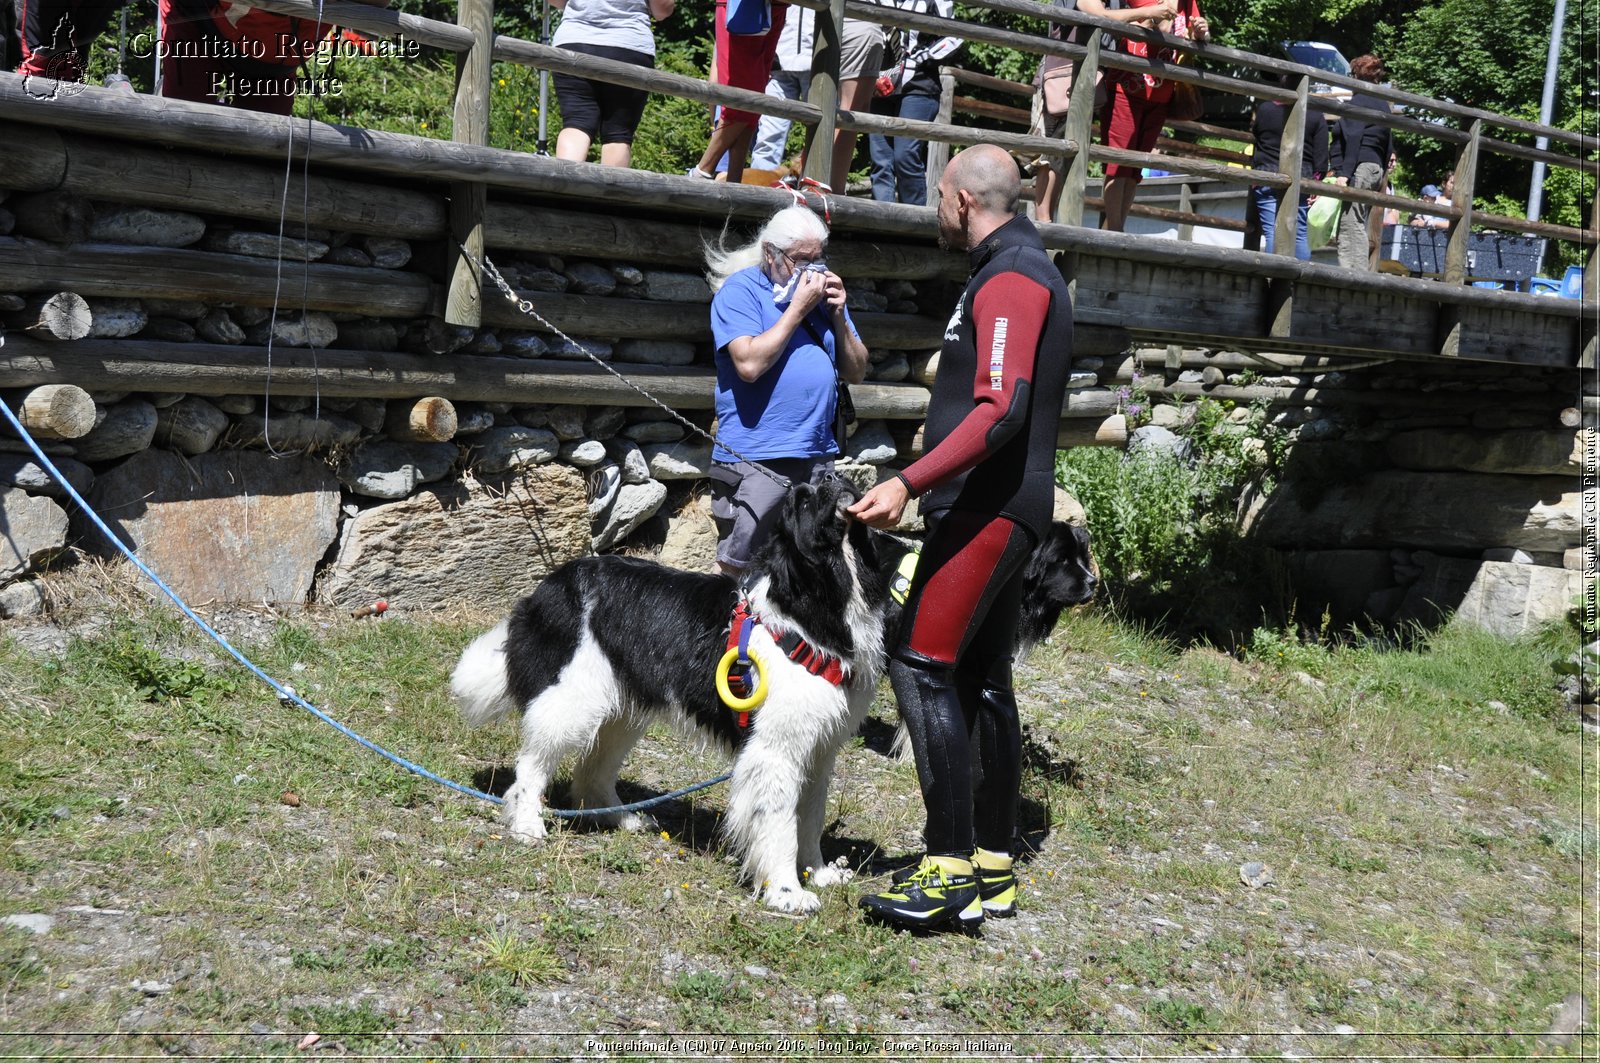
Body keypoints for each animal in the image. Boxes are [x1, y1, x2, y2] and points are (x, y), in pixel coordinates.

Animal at [451, 477, 889, 909]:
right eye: (803, 500)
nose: (831, 475)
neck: (814, 608)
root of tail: (550, 585)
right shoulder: (776, 750)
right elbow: (781, 822)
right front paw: (787, 892)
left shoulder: (819, 748)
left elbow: (810, 818)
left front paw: (818, 873)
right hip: (572, 698)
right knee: (532, 764)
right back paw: (527, 823)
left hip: (622, 709)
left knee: (592, 770)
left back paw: (621, 818)